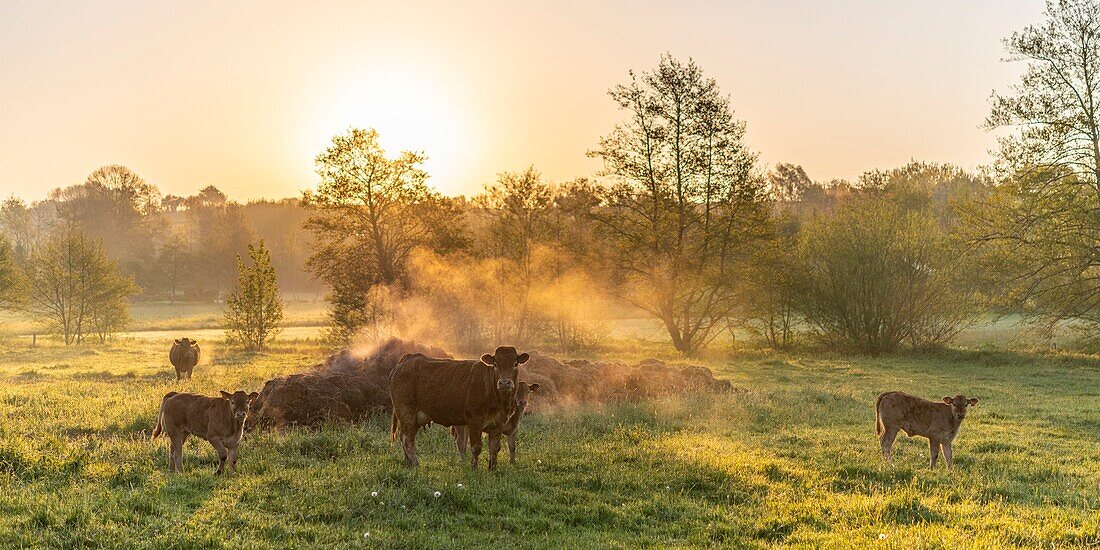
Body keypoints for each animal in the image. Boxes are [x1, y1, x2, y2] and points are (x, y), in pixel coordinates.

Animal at [389, 347, 530, 468]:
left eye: (515, 363)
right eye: (495, 364)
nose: (504, 383)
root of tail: (408, 359)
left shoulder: (498, 424)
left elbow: (494, 448)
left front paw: (492, 469)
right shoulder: (475, 421)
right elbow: (476, 447)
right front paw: (474, 467)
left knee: (407, 438)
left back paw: (408, 463)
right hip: (406, 412)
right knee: (407, 439)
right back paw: (415, 464)